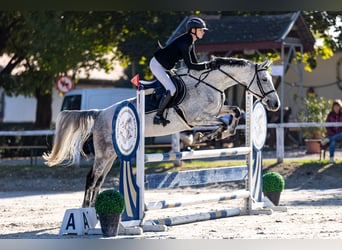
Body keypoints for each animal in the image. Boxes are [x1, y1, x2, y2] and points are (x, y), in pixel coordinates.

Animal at [43, 57, 280, 207]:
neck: (210, 84)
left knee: (98, 180)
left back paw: (92, 210)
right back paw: (86, 213)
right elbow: (219, 123)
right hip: (104, 153)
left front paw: (223, 134)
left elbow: (236, 112)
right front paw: (207, 136)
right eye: (265, 79)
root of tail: (100, 112)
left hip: (110, 155)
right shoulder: (195, 118)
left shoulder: (217, 110)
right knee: (92, 178)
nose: (275, 104)